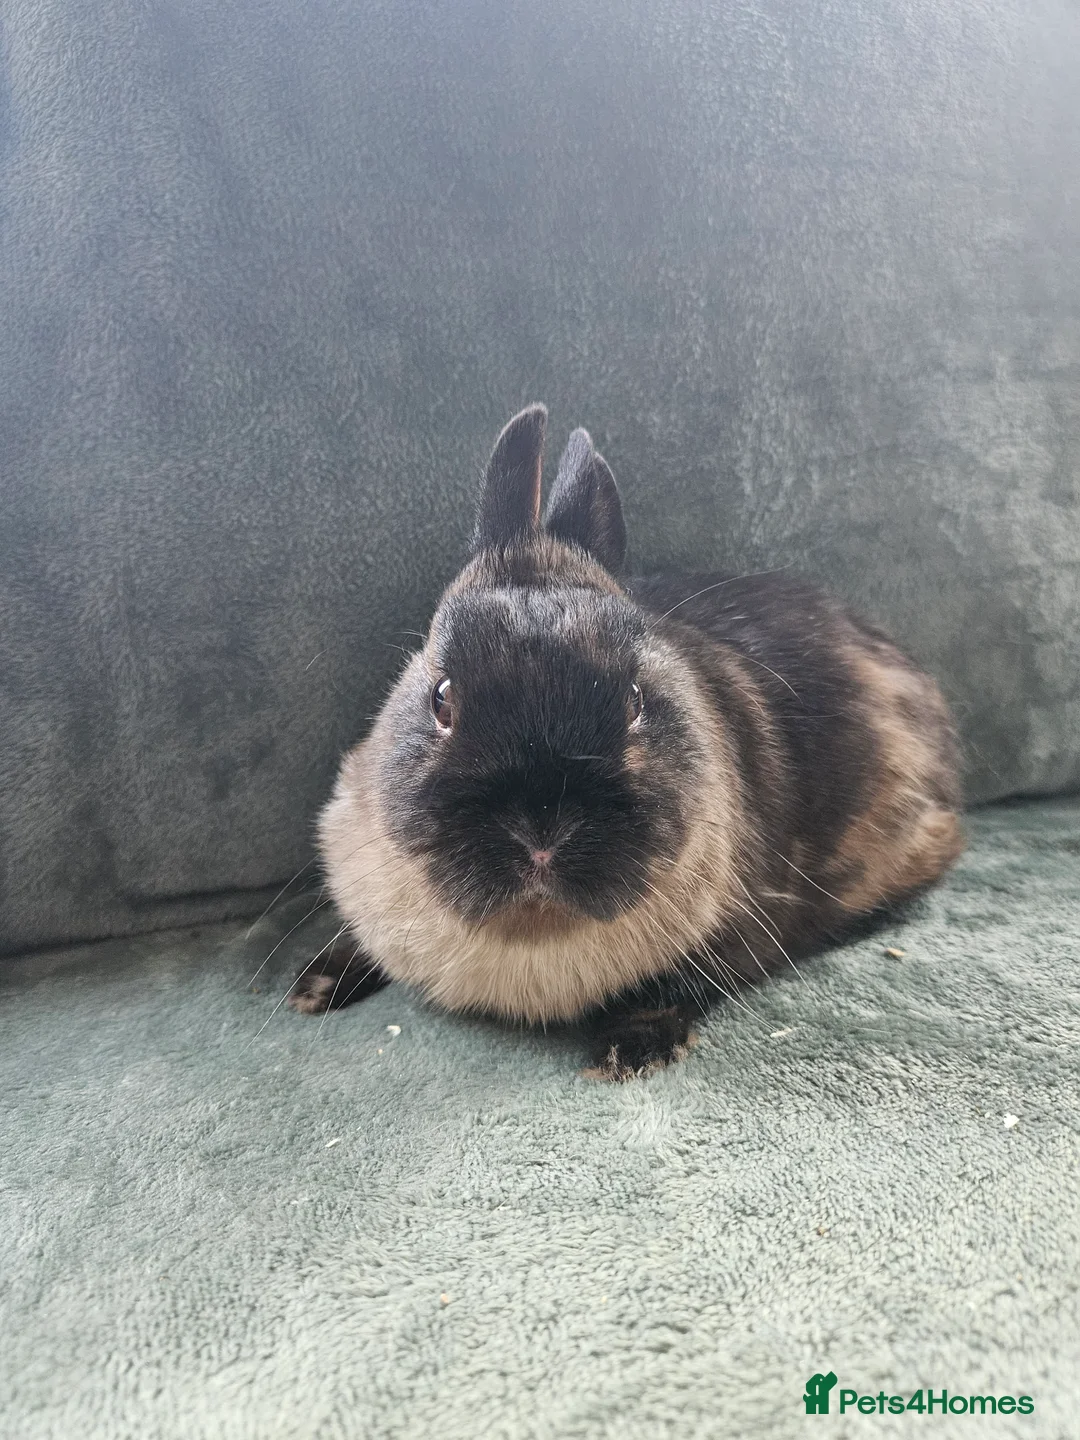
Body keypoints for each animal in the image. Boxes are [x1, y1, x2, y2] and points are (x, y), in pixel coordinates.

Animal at [289, 404, 963, 1079]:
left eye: (636, 700)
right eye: (442, 697)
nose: (541, 834)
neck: (536, 929)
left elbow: (674, 988)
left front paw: (629, 1053)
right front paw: (314, 985)